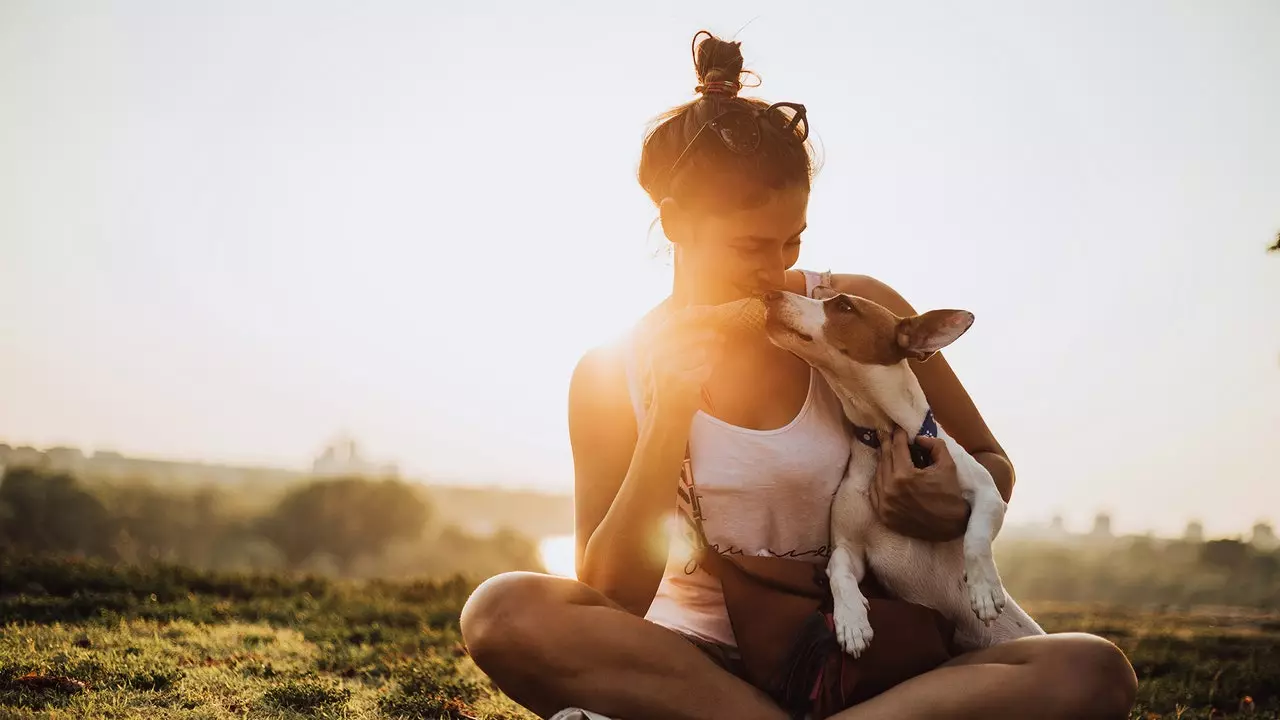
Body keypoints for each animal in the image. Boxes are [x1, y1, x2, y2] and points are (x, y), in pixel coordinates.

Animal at [757, 278, 1039, 653]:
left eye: (844, 306)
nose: (769, 294)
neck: (886, 433)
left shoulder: (988, 494)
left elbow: (976, 537)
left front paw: (983, 589)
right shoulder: (849, 547)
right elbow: (839, 572)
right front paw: (851, 620)